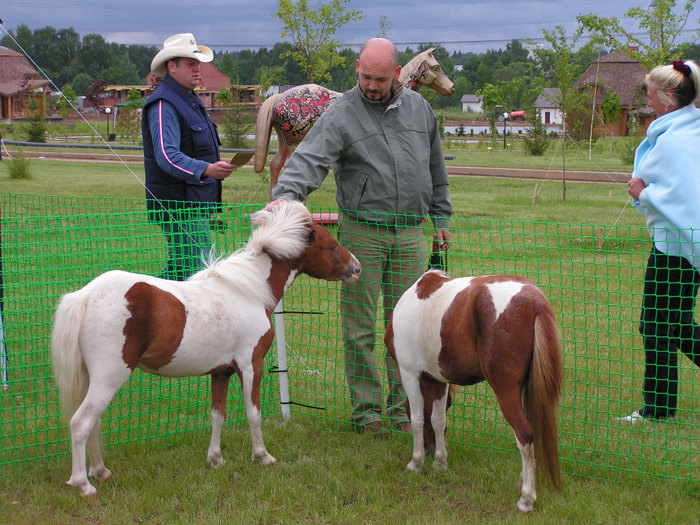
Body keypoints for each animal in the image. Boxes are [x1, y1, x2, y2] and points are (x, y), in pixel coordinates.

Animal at [50, 201, 360, 496]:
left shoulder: (220, 372)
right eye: (332, 245)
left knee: (93, 423)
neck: (249, 291)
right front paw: (262, 456)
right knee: (81, 423)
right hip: (109, 378)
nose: (356, 268)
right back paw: (83, 484)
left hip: (93, 379)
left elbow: (217, 414)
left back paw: (100, 471)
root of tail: (84, 296)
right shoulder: (251, 366)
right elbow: (253, 412)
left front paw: (215, 459)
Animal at [254, 46, 456, 186]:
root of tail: (279, 97)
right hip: (294, 141)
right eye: (436, 66)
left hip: (283, 140)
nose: (451, 87)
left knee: (275, 164)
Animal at [382, 270, 564, 512]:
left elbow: (419, 419)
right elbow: (438, 420)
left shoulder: (409, 372)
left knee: (525, 435)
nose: (429, 452)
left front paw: (416, 463)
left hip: (506, 390)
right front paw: (440, 462)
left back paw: (526, 499)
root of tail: (535, 302)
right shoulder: (437, 379)